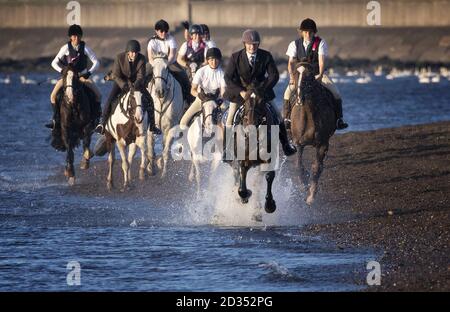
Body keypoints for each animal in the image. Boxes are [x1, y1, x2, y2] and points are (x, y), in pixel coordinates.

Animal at [290, 62, 336, 206]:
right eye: (295, 74)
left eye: (309, 76)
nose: (299, 98)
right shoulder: (298, 143)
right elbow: (299, 166)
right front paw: (304, 185)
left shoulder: (323, 144)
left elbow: (317, 168)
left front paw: (311, 195)